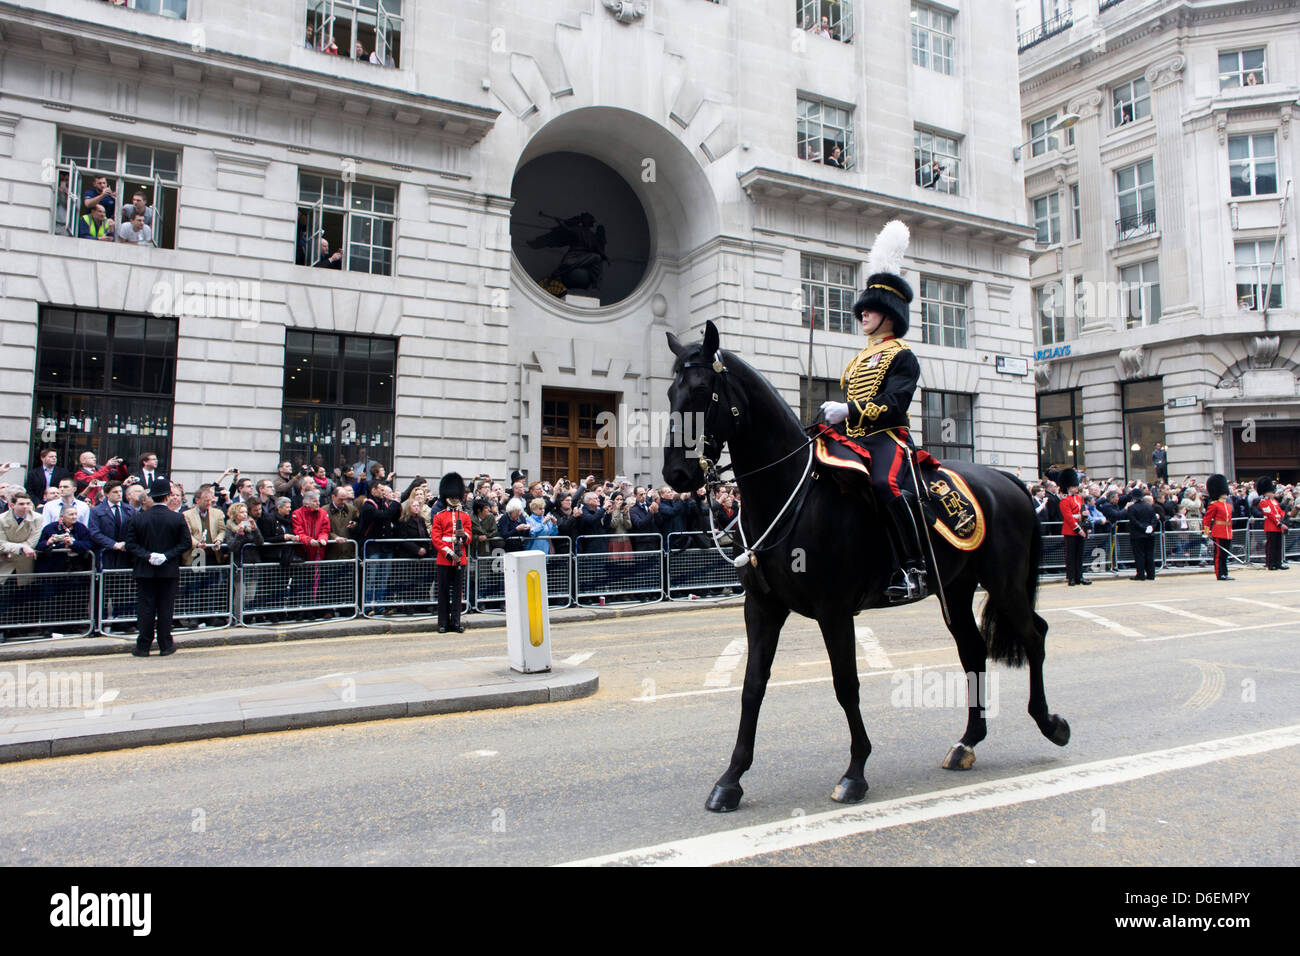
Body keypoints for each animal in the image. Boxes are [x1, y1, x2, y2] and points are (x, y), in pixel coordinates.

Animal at [665, 323, 1071, 816]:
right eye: (671, 391)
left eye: (702, 390)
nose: (675, 475)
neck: (792, 494)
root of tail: (1008, 480)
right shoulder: (762, 608)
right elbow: (752, 686)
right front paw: (731, 779)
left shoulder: (835, 610)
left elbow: (846, 684)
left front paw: (855, 773)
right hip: (955, 590)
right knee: (973, 651)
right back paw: (967, 742)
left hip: (1005, 583)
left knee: (1034, 635)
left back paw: (1049, 723)